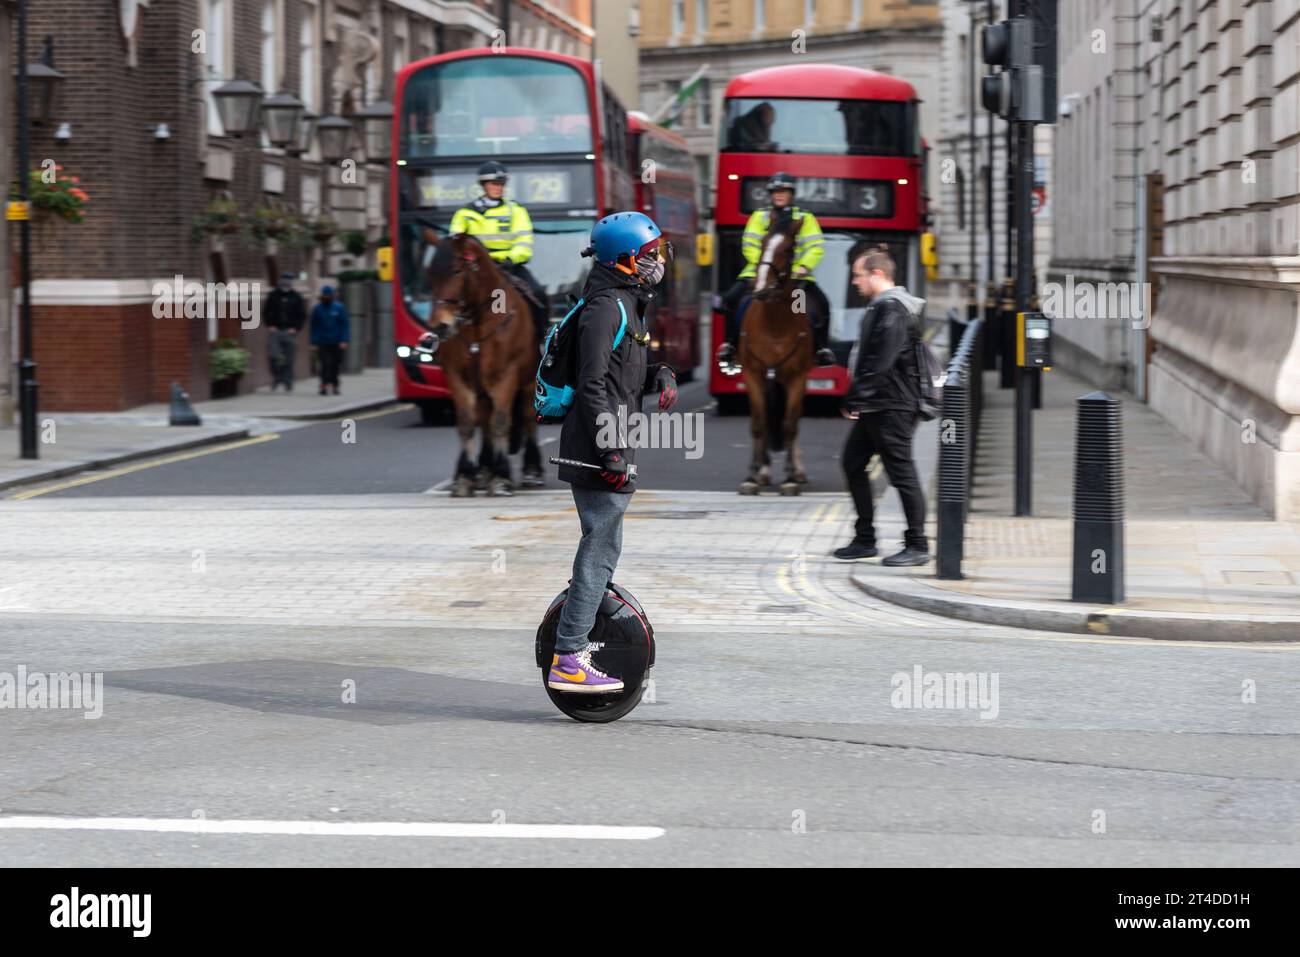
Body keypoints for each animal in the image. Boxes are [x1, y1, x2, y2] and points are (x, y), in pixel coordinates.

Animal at [421, 228, 543, 496]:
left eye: (456, 270)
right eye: (430, 273)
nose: (439, 326)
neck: (478, 322)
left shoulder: (506, 375)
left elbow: (501, 422)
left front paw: (502, 476)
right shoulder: (458, 376)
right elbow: (467, 423)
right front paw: (466, 476)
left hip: (530, 382)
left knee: (528, 417)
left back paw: (531, 471)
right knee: (484, 420)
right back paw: (485, 469)